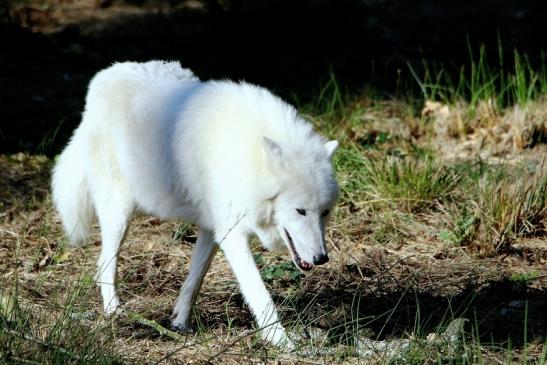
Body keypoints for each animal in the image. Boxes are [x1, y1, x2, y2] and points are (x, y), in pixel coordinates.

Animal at [53, 60, 340, 346]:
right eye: (300, 211)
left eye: (324, 213)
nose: (322, 258)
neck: (247, 160)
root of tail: (104, 76)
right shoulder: (231, 234)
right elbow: (259, 292)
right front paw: (281, 341)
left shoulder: (212, 229)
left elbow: (195, 279)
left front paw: (180, 323)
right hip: (119, 214)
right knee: (104, 264)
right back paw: (114, 311)